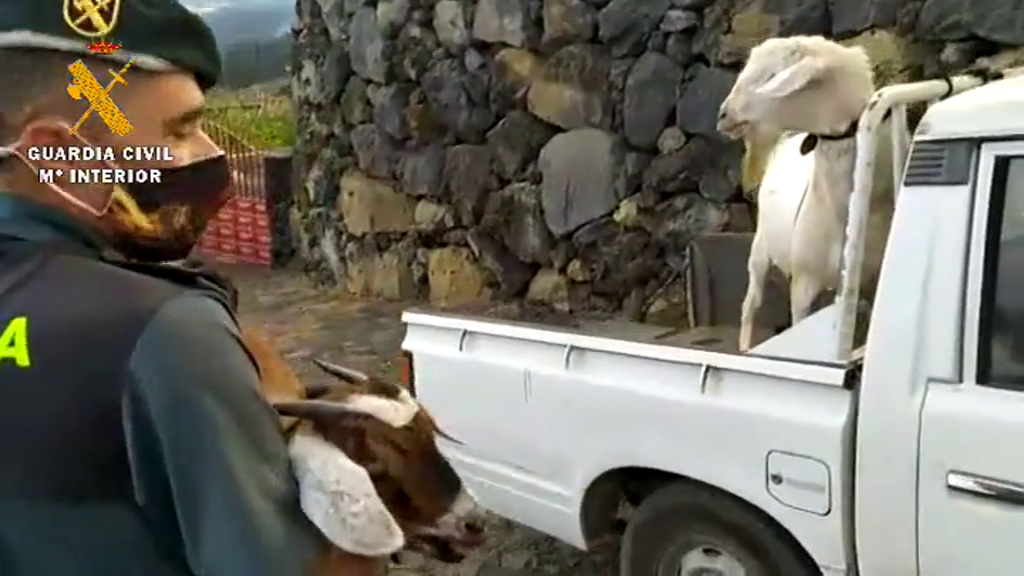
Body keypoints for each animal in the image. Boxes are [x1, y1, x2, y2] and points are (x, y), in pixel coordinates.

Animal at [712, 35, 897, 352]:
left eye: (772, 75)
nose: (724, 114)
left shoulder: (872, 284)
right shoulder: (802, 284)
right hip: (760, 247)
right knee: (751, 302)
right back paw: (745, 347)